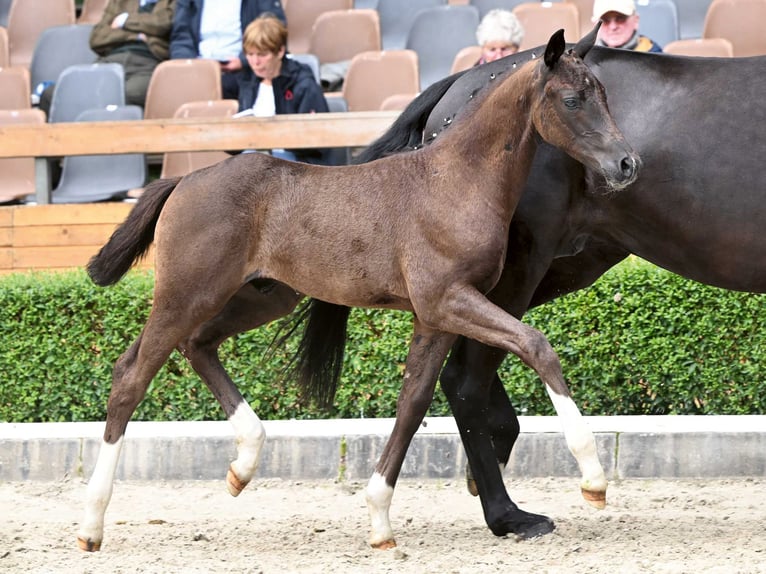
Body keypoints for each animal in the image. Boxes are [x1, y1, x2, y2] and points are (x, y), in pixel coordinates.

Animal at [79, 29, 640, 552]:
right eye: (572, 99)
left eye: (604, 93)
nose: (627, 164)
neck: (456, 181)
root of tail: (182, 180)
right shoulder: (447, 299)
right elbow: (536, 345)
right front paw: (593, 478)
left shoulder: (434, 316)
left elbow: (413, 403)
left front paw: (379, 519)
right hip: (186, 292)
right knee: (131, 375)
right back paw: (91, 524)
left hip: (263, 295)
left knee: (198, 345)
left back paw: (244, 463)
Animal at [296, 33, 766, 544]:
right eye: (573, 101)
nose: (627, 164)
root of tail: (458, 85)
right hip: (525, 266)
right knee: (468, 378)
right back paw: (509, 512)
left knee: (459, 371)